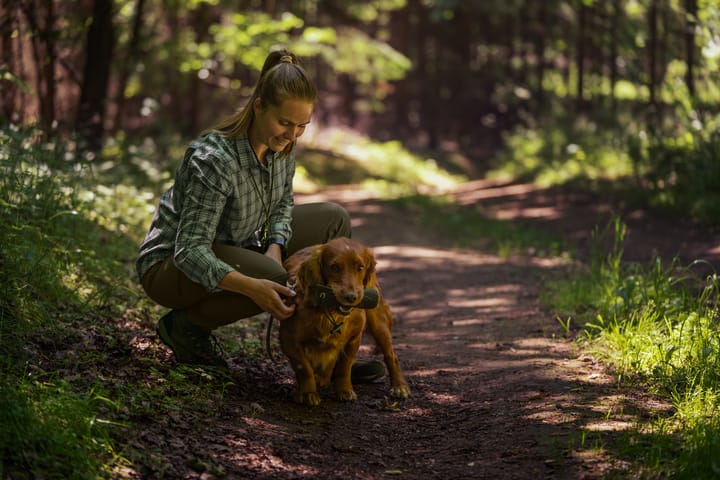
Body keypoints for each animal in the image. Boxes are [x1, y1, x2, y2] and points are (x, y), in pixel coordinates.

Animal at [280, 236, 410, 404]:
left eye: (360, 268)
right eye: (334, 267)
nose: (351, 297)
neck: (330, 312)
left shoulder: (354, 338)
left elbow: (344, 366)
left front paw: (344, 390)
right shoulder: (288, 339)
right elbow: (303, 367)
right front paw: (308, 393)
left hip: (379, 325)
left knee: (391, 355)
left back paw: (400, 386)